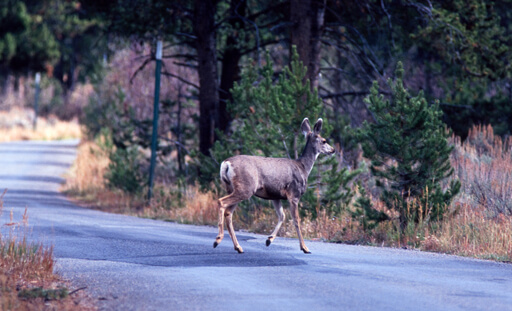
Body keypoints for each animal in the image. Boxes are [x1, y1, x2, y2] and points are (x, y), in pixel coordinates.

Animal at [213, 117, 336, 254]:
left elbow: (282, 216)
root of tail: (226, 163)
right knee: (221, 202)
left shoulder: (275, 196)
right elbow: (296, 220)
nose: (333, 150)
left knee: (229, 212)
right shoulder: (294, 193)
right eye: (324, 141)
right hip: (245, 188)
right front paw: (304, 247)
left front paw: (269, 240)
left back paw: (238, 247)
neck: (303, 167)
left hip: (232, 188)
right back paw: (218, 240)